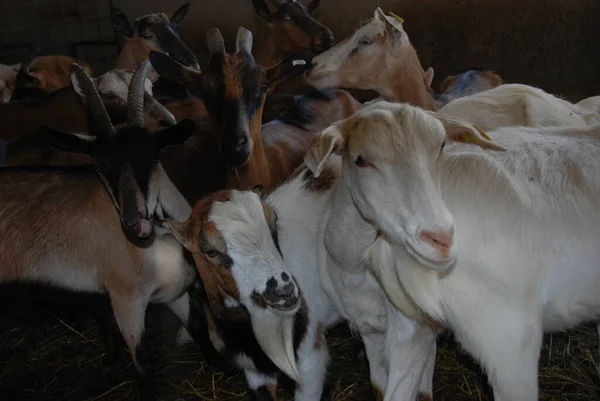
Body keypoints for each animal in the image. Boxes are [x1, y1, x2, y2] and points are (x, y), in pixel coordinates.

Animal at [0, 61, 211, 398]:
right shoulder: (126, 302)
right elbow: (144, 365)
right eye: (98, 166)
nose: (135, 223)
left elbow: (200, 329)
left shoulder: (175, 292)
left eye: (154, 156)